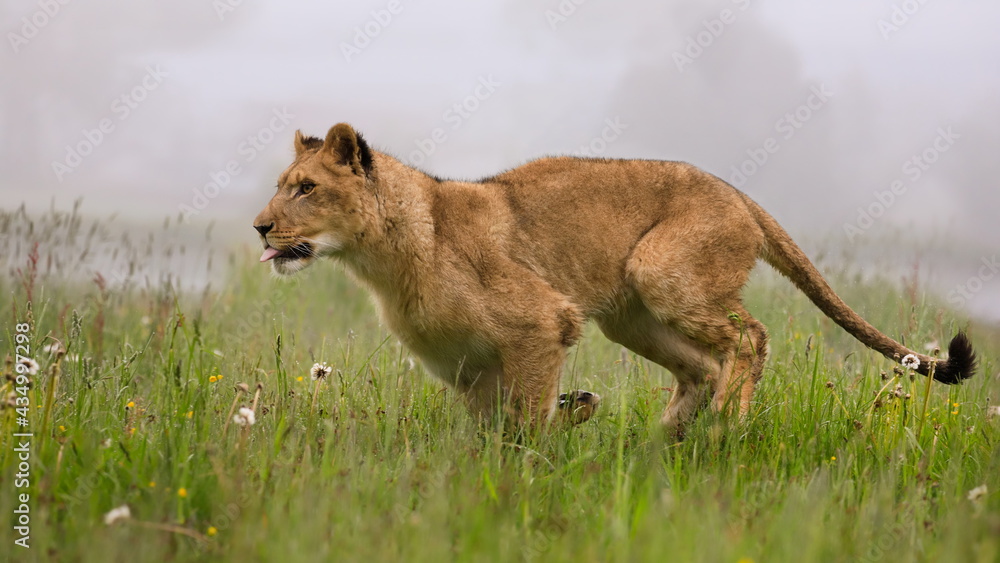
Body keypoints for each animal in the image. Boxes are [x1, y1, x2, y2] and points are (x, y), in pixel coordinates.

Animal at [253, 123, 977, 435]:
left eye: (306, 188)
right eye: (282, 185)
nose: (261, 227)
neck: (381, 258)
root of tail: (739, 194)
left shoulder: (542, 321)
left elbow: (524, 423)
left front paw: (537, 459)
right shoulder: (467, 368)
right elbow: (488, 430)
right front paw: (571, 416)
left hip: (661, 271)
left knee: (750, 338)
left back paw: (728, 422)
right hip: (627, 316)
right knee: (702, 364)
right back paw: (667, 436)